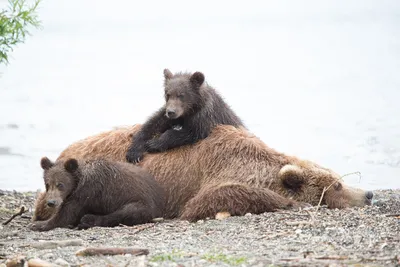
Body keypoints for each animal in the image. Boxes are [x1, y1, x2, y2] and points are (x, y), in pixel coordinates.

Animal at [29, 157, 164, 232]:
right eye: (47, 185)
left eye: (60, 184)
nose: (51, 202)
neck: (78, 182)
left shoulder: (87, 191)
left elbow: (68, 212)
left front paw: (39, 224)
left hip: (140, 201)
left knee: (125, 213)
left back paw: (88, 220)